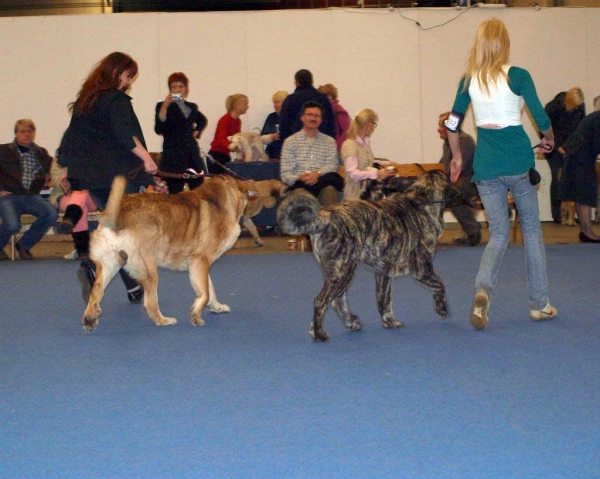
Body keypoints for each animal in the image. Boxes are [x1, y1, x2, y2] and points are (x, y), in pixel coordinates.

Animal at [278, 171, 466, 344]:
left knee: (338, 301)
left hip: (342, 273)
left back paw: (351, 323)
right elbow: (440, 285)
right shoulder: (423, 269)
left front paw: (389, 322)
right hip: (344, 271)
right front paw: (441, 309)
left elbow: (384, 300)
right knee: (321, 301)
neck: (420, 201)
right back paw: (318, 333)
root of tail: (326, 216)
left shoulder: (383, 273)